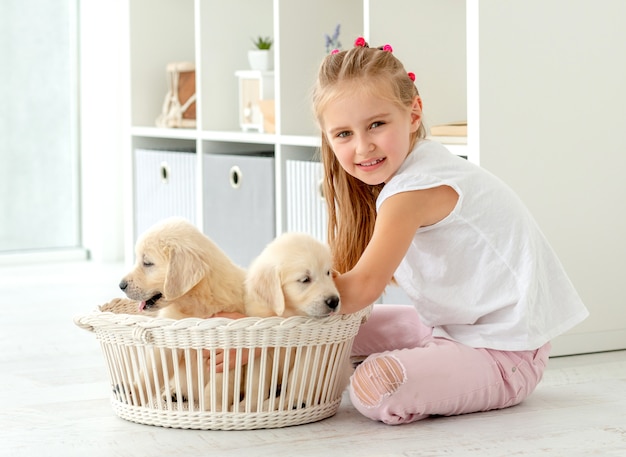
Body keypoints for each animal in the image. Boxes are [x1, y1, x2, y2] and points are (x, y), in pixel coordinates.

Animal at [118, 217, 245, 410]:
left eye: (147, 263)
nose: (121, 285)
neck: (193, 305)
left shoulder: (224, 355)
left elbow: (216, 388)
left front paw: (210, 411)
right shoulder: (166, 345)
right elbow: (150, 373)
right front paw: (134, 395)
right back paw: (175, 392)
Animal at [240, 232, 346, 410]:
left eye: (328, 273)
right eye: (305, 279)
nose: (334, 301)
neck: (287, 315)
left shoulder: (309, 352)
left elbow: (297, 378)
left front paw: (291, 401)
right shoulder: (260, 351)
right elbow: (256, 381)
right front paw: (248, 405)